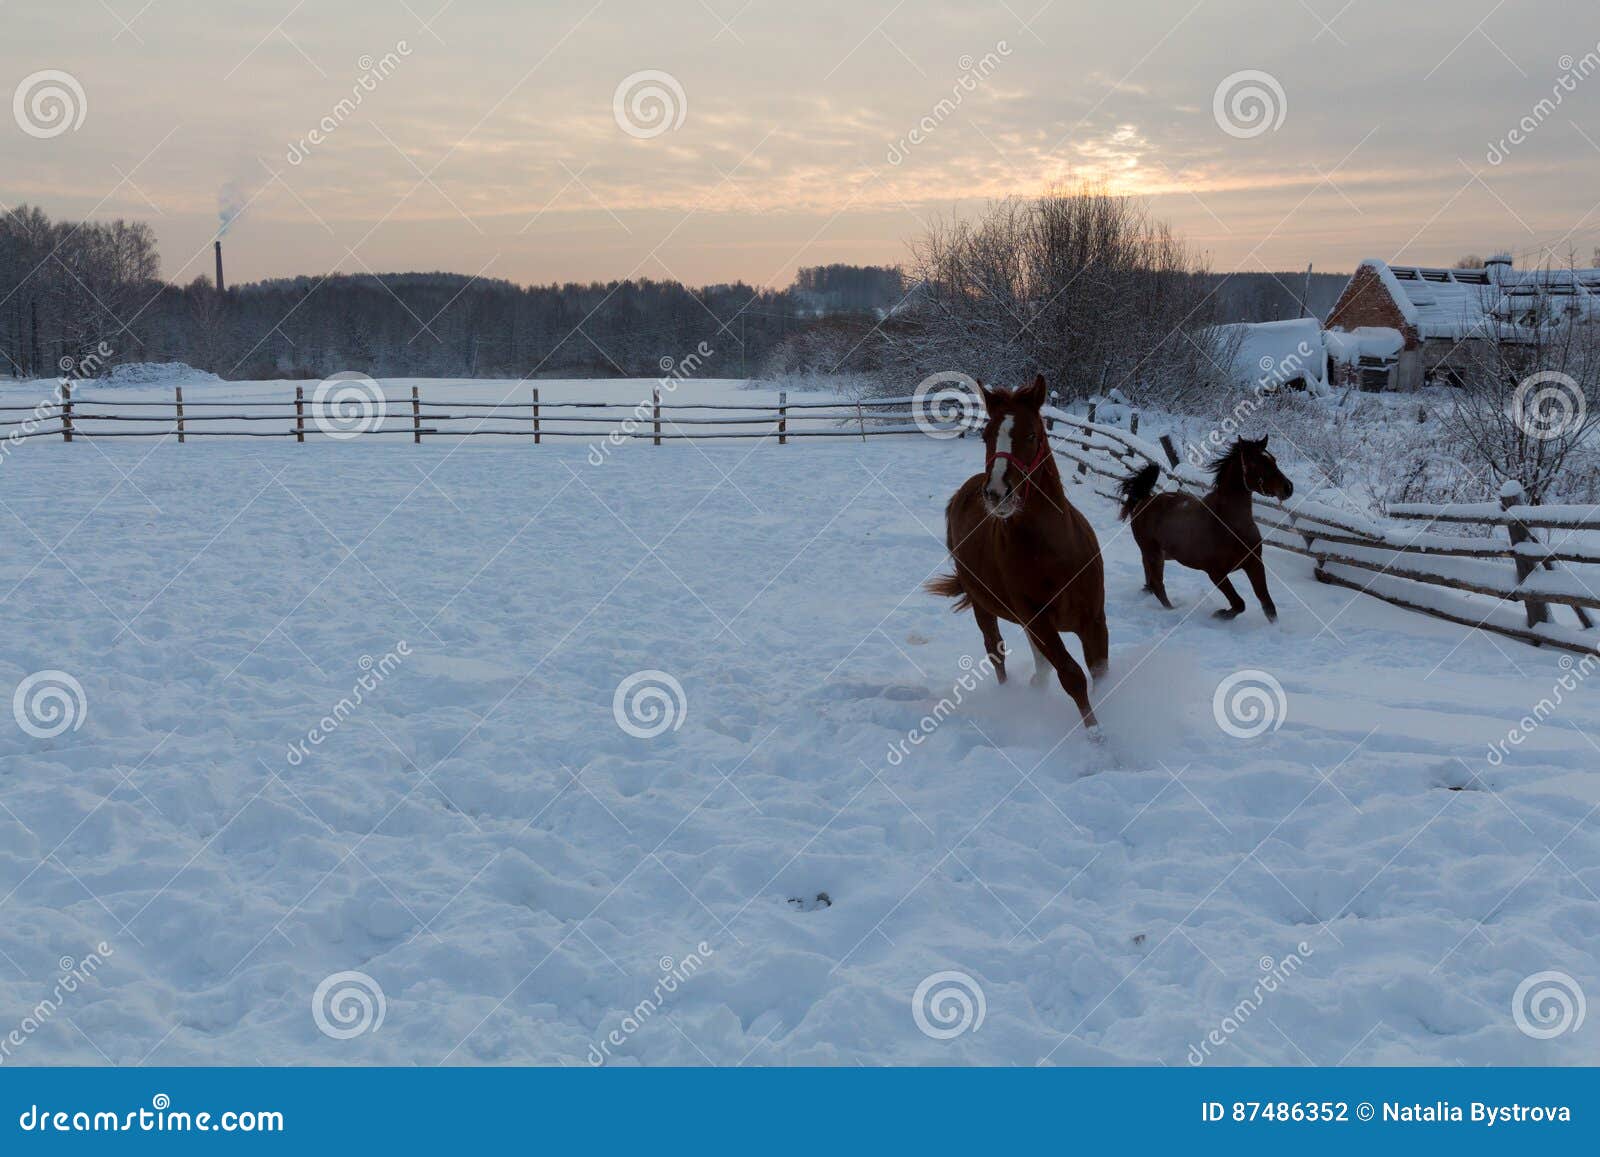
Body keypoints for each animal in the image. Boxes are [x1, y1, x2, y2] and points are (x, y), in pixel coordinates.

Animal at [926, 375, 1108, 734]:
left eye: (1031, 434)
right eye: (986, 435)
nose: (997, 493)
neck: (1055, 553)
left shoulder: (1094, 619)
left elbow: (1101, 675)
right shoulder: (1039, 620)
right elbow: (1073, 677)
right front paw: (1099, 738)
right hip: (983, 605)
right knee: (996, 652)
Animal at [1118, 435, 1294, 622]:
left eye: (1273, 460)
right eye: (1256, 462)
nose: (1288, 488)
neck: (1230, 524)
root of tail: (1144, 499)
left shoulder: (1254, 563)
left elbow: (1268, 606)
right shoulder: (1215, 572)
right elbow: (1239, 604)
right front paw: (1220, 614)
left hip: (1159, 555)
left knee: (1150, 580)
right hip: (1153, 553)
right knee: (1158, 585)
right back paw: (1173, 610)